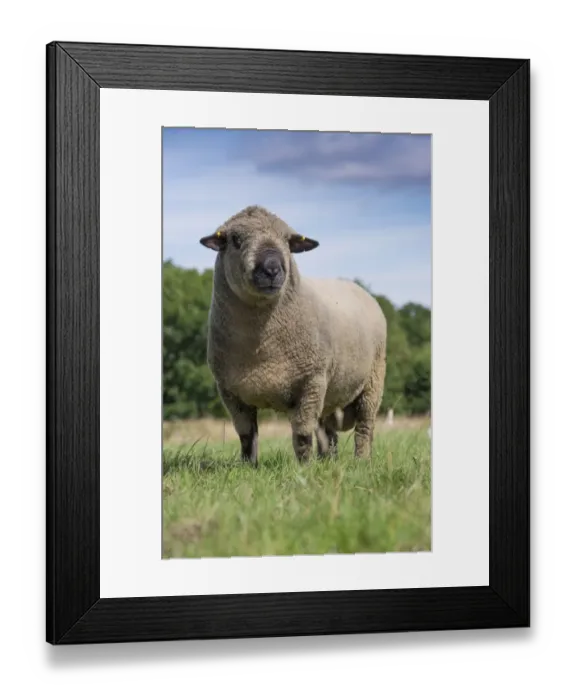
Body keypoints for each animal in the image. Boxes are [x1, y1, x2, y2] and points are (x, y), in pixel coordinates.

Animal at [199, 205, 388, 466]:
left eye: (288, 242)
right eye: (236, 240)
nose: (271, 269)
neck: (262, 349)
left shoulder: (311, 382)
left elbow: (302, 435)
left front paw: (305, 468)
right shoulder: (230, 392)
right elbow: (247, 436)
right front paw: (249, 466)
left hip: (372, 381)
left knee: (364, 428)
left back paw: (361, 461)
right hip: (330, 392)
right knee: (329, 433)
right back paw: (329, 461)